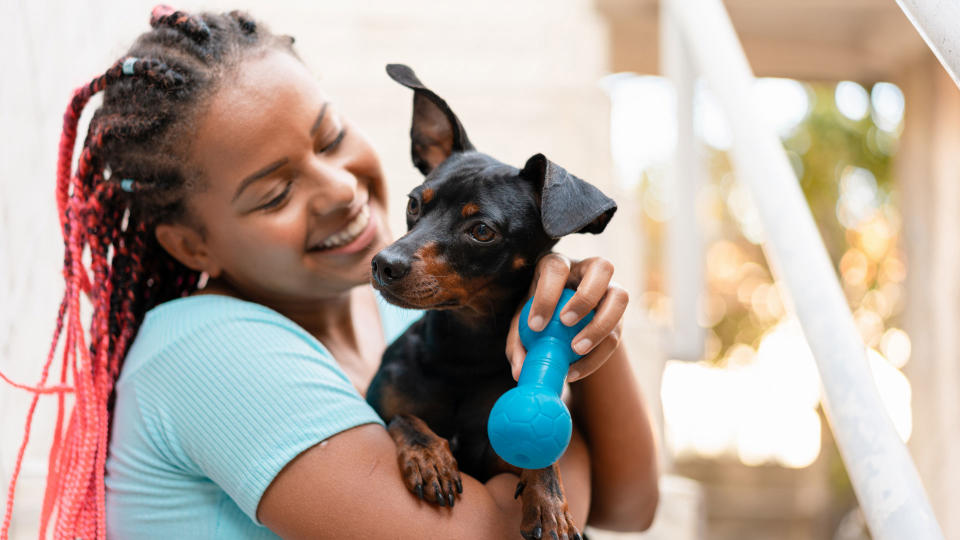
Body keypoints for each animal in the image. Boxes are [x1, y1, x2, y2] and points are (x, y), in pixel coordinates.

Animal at [368, 64, 616, 540]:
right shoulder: (379, 406)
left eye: (482, 231)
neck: (463, 351)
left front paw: (549, 505)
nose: (383, 264)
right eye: (414, 204)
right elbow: (405, 419)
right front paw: (430, 456)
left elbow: (543, 460)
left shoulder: (497, 457)